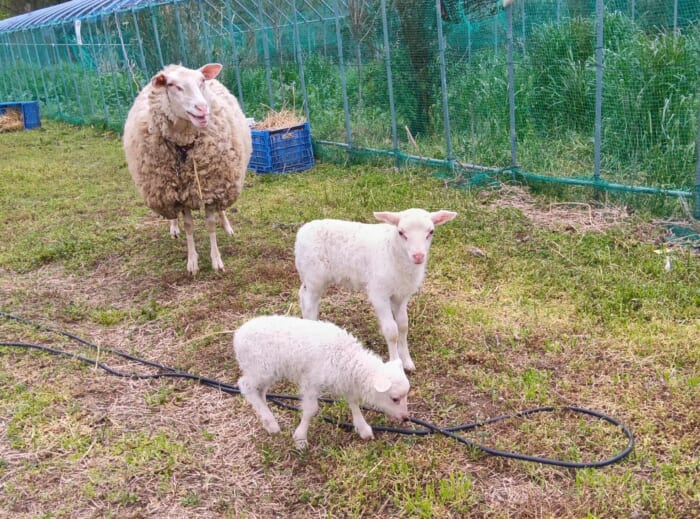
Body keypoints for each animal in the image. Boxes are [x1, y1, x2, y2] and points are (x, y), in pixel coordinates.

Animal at [123, 63, 252, 274]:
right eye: (173, 85)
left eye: (201, 81)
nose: (202, 108)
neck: (185, 144)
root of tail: (172, 66)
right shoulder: (179, 197)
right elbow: (189, 226)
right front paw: (192, 262)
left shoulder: (211, 190)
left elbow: (210, 224)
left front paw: (216, 260)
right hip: (167, 192)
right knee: (173, 216)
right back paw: (174, 227)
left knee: (222, 210)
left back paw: (227, 227)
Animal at [234, 315, 410, 449]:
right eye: (395, 399)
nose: (406, 418)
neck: (348, 357)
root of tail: (237, 335)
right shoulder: (311, 382)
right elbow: (311, 409)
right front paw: (300, 438)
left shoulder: (344, 380)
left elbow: (353, 402)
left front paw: (363, 429)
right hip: (260, 367)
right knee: (246, 386)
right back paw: (272, 423)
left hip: (265, 371)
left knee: (259, 391)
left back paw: (267, 421)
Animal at [294, 208, 457, 371]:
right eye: (401, 232)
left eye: (431, 231)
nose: (418, 256)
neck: (395, 253)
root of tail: (302, 231)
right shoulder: (379, 293)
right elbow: (392, 331)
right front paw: (396, 362)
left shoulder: (401, 295)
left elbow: (403, 326)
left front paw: (407, 361)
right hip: (314, 275)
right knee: (309, 304)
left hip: (310, 277)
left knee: (303, 295)